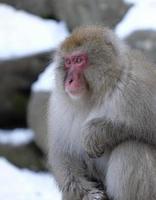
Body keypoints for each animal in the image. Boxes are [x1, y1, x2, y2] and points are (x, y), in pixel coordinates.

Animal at [48, 25, 156, 200]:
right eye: (68, 62)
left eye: (79, 60)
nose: (69, 81)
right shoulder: (58, 105)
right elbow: (64, 154)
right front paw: (88, 193)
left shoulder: (139, 86)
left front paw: (96, 132)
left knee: (131, 149)